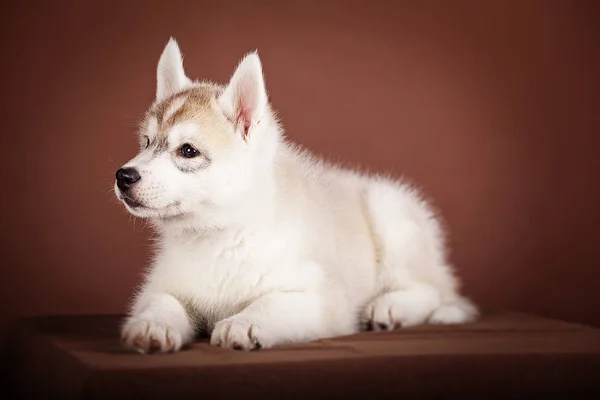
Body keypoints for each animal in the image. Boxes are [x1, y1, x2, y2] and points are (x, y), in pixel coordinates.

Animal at [113, 37, 478, 354]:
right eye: (146, 142)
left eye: (188, 151)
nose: (123, 176)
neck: (221, 235)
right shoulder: (167, 284)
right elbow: (161, 301)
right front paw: (152, 324)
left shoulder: (323, 299)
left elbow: (272, 301)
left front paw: (244, 322)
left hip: (390, 215)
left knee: (432, 291)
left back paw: (390, 307)